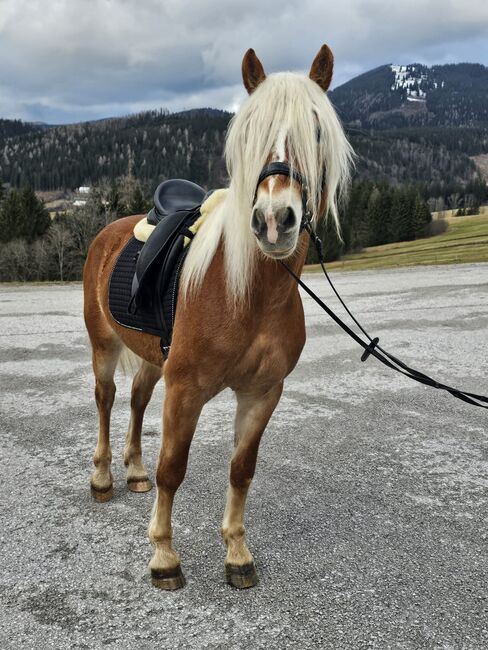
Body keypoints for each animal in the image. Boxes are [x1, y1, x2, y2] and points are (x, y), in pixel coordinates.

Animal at [83, 44, 350, 588]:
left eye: (315, 130)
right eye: (249, 133)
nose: (273, 221)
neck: (250, 293)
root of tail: (109, 232)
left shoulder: (262, 392)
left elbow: (241, 469)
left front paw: (237, 552)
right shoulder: (186, 388)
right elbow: (173, 468)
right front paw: (164, 557)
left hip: (152, 359)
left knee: (136, 401)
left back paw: (133, 473)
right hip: (104, 346)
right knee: (106, 399)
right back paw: (102, 477)